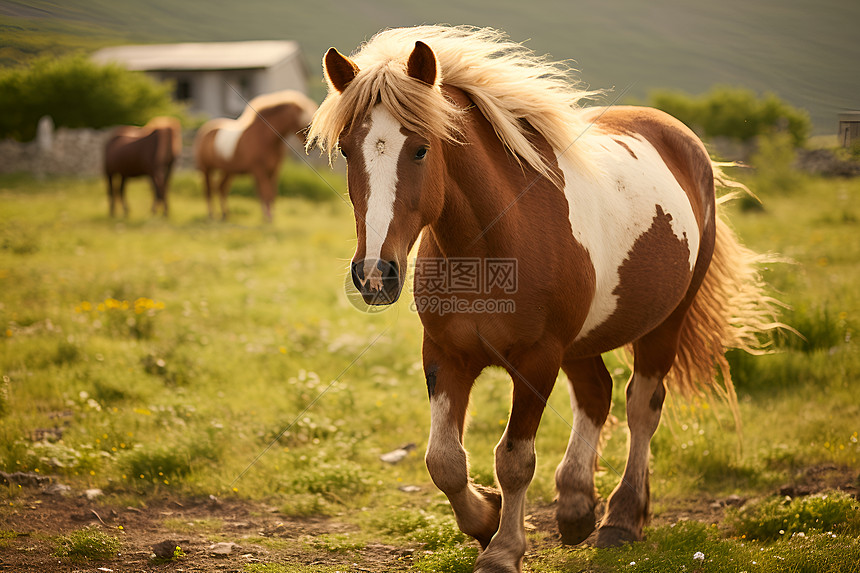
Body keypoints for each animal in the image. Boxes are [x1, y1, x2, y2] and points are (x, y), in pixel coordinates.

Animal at [193, 89, 318, 221]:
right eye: (306, 121)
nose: (314, 141)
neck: (264, 137)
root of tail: (204, 131)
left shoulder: (274, 171)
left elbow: (271, 194)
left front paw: (268, 216)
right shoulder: (259, 170)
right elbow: (265, 193)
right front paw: (268, 218)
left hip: (228, 171)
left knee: (221, 188)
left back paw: (225, 214)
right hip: (206, 169)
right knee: (208, 191)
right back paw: (211, 215)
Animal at [310, 24, 780, 568]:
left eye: (422, 149)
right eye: (347, 150)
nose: (375, 274)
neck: (491, 247)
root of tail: (682, 138)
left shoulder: (536, 359)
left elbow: (514, 459)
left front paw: (502, 551)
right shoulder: (446, 354)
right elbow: (443, 460)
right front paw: (485, 520)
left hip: (663, 324)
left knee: (641, 406)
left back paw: (621, 518)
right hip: (580, 343)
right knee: (596, 394)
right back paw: (576, 507)